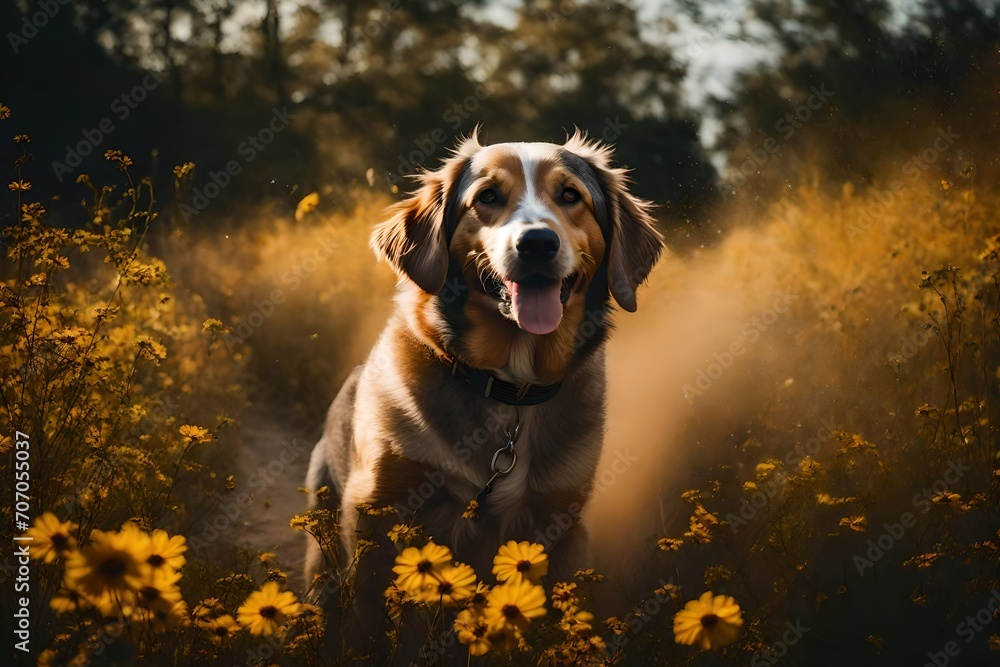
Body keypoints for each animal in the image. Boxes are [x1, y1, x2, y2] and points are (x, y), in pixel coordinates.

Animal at [304, 129, 664, 652]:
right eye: (487, 197)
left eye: (569, 195)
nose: (537, 243)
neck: (508, 389)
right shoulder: (375, 510)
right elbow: (369, 617)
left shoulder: (560, 522)